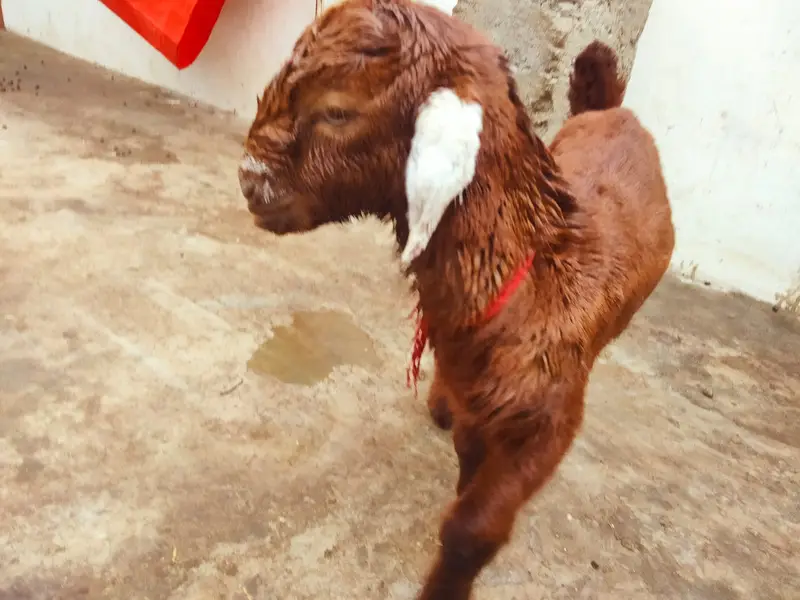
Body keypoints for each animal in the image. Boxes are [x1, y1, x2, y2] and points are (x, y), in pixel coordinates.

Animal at [237, 2, 675, 598]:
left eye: (338, 111)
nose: (249, 181)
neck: (534, 278)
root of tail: (612, 112)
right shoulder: (477, 396)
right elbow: (468, 460)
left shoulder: (548, 421)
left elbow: (474, 527)